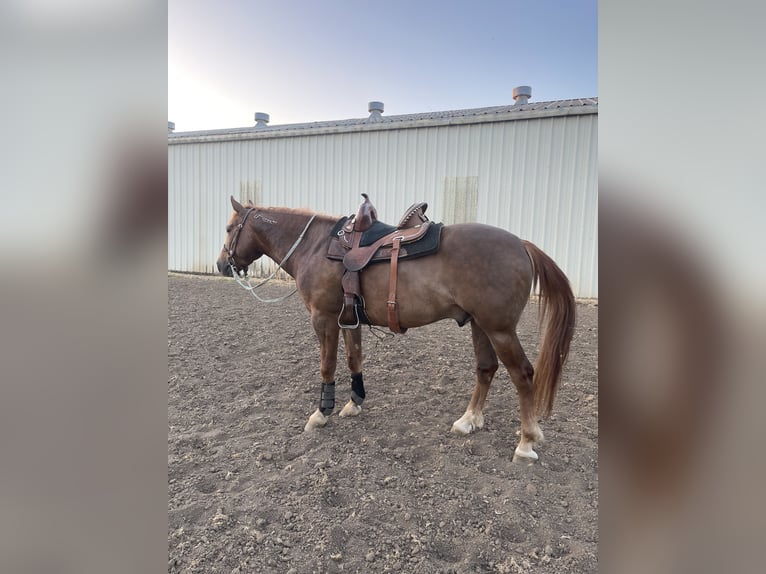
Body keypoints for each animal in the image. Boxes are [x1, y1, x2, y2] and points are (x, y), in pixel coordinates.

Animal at [216, 196, 576, 462]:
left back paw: (526, 442)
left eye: (230, 227)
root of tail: (522, 244)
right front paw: (354, 403)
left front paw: (321, 413)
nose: (222, 265)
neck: (317, 247)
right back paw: (468, 421)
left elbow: (327, 365)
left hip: (499, 329)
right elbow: (354, 359)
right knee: (486, 368)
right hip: (481, 325)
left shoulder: (323, 318)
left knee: (523, 375)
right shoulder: (348, 319)